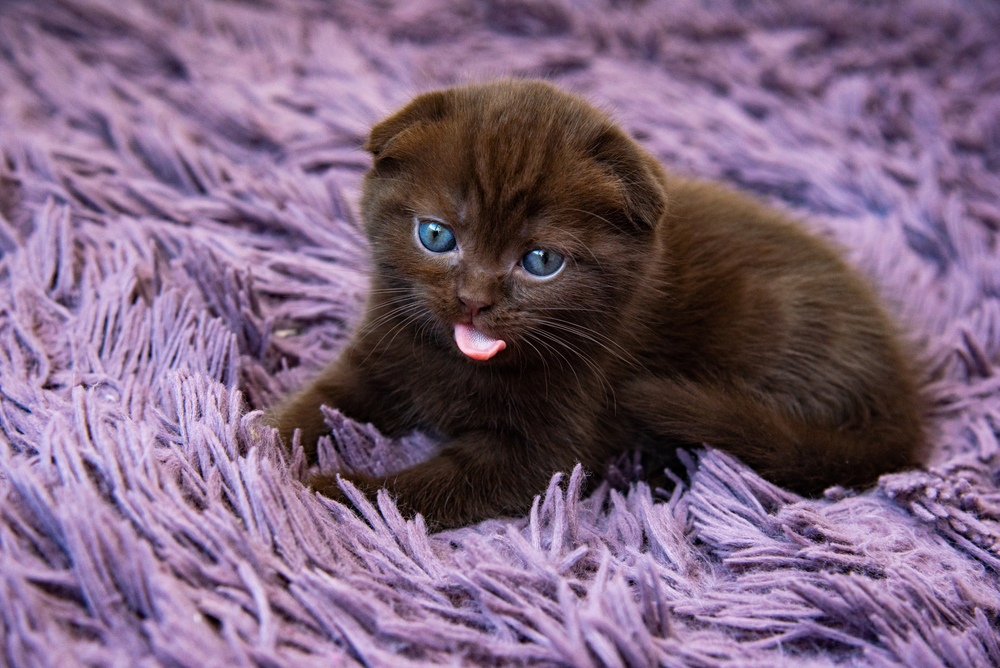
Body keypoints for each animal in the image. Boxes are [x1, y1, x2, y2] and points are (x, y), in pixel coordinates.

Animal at [268, 79, 928, 528]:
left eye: (540, 261)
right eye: (436, 235)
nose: (473, 300)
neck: (456, 366)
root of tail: (900, 402)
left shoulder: (544, 447)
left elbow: (422, 486)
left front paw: (331, 489)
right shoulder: (379, 351)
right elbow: (314, 403)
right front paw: (257, 439)